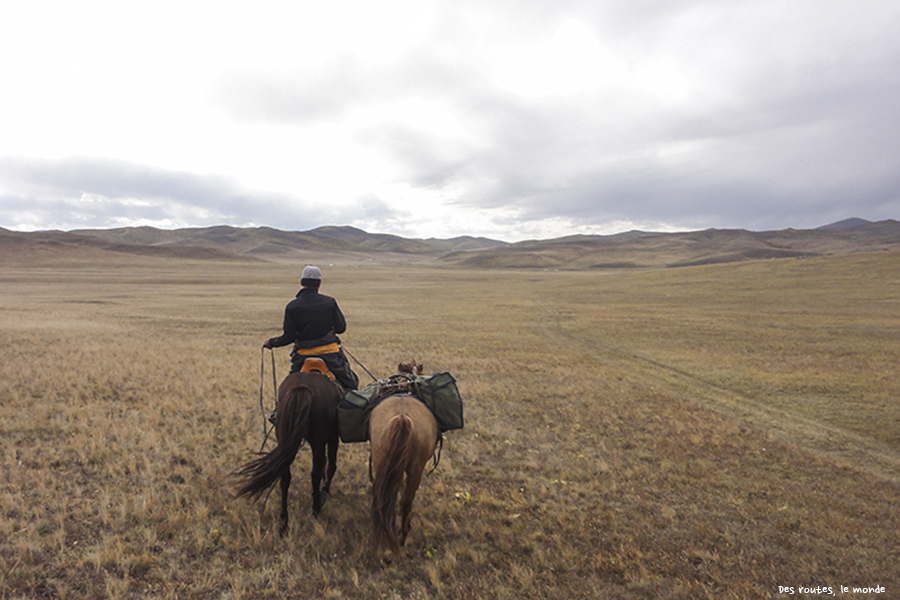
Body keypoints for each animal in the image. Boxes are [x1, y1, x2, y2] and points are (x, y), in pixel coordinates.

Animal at [236, 370, 342, 536]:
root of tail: (302, 386)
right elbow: (331, 465)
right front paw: (325, 491)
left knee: (285, 477)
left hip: (284, 439)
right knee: (315, 473)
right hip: (318, 440)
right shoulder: (333, 436)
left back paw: (283, 522)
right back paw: (316, 508)